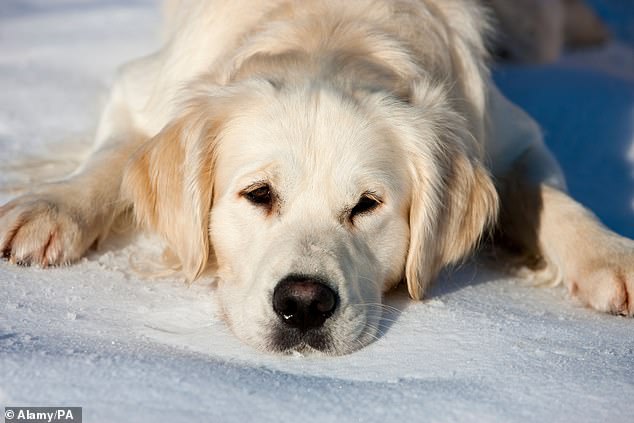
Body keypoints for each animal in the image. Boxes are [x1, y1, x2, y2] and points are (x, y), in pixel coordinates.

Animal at [0, 0, 628, 356]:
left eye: (367, 205)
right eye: (258, 194)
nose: (303, 305)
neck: (329, 26)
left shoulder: (507, 132)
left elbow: (552, 199)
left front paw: (609, 256)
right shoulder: (141, 87)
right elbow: (109, 158)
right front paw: (49, 209)